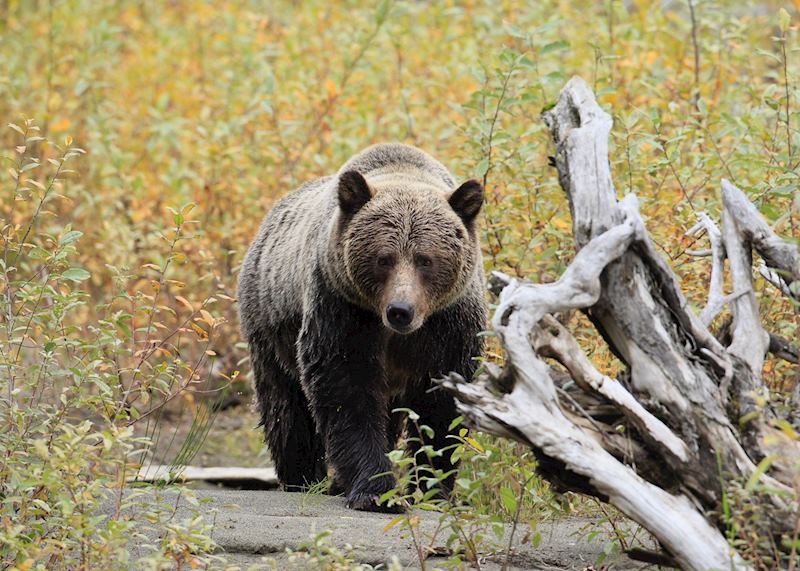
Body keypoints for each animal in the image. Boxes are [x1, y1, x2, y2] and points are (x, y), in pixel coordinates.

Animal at [237, 143, 486, 512]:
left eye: (425, 259)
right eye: (384, 258)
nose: (401, 311)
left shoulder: (449, 322)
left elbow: (441, 402)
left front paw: (432, 488)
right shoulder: (342, 307)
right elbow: (346, 388)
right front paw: (375, 489)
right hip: (269, 327)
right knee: (285, 406)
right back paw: (302, 476)